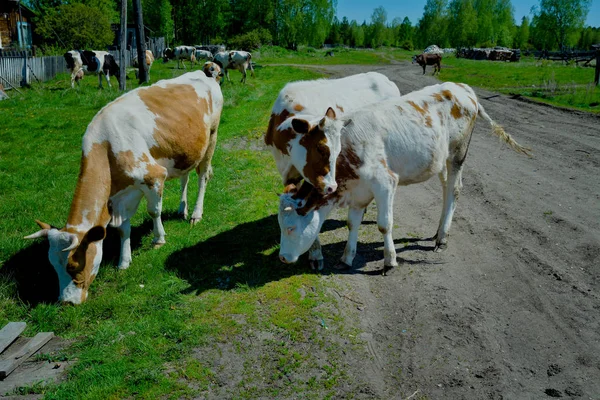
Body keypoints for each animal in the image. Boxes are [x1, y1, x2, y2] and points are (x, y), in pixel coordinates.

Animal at [276, 81, 528, 270]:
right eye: (279, 225)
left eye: (290, 228)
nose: (282, 258)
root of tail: (461, 87)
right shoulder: (358, 191)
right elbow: (352, 223)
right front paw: (347, 257)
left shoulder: (385, 182)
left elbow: (384, 225)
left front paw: (390, 260)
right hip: (442, 158)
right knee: (446, 188)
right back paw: (438, 230)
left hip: (458, 153)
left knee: (455, 189)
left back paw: (442, 237)